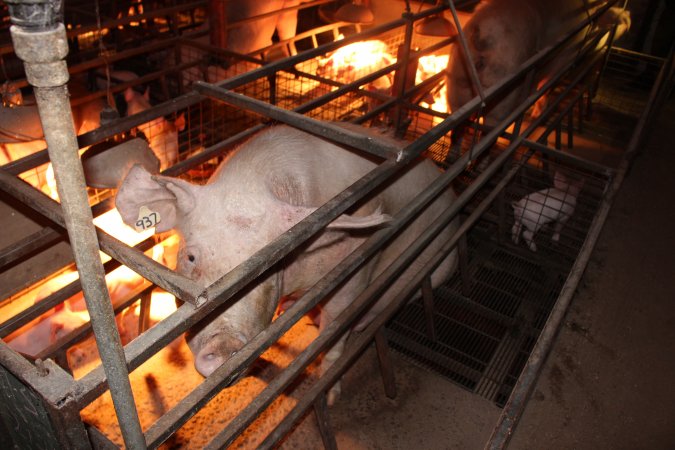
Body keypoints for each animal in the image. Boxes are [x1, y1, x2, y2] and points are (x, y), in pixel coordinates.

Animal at [116, 124, 460, 404]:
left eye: (266, 268)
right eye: (191, 257)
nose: (226, 345)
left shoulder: (359, 261)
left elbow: (337, 325)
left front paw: (330, 393)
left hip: (440, 266)